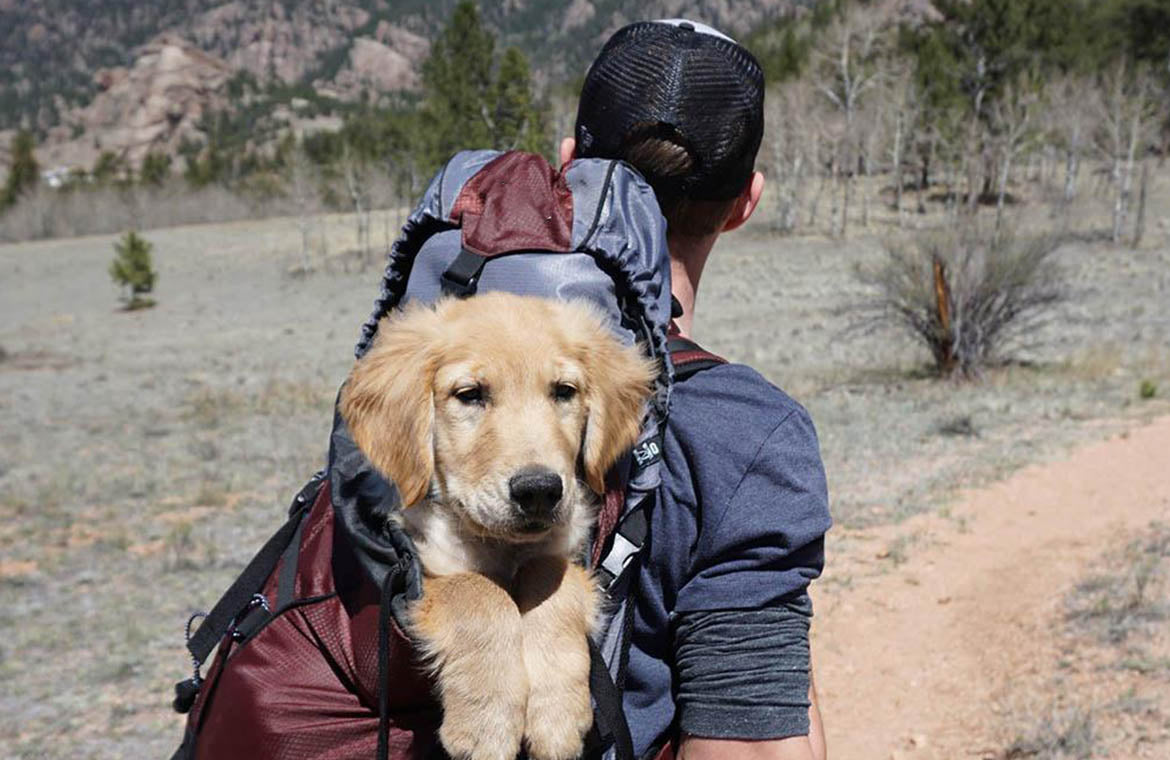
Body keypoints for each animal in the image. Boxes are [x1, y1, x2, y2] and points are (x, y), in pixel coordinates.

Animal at [339, 293, 659, 757]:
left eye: (564, 392)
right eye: (470, 395)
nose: (539, 490)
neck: (501, 546)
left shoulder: (566, 549)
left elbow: (549, 578)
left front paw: (555, 714)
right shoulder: (421, 563)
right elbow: (478, 591)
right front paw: (486, 724)